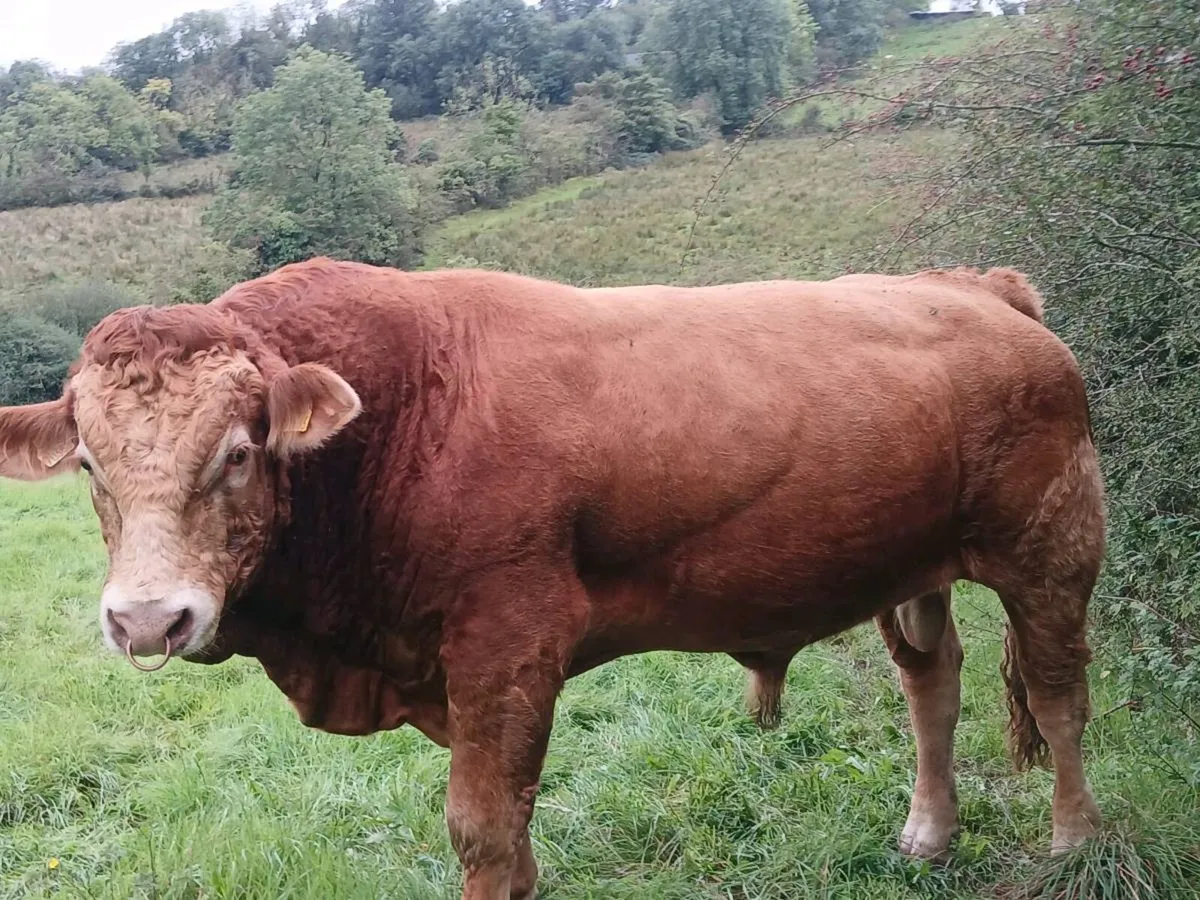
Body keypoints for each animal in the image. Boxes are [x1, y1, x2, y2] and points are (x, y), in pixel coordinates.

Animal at [0, 259, 1105, 900]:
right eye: (89, 464)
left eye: (237, 452)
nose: (148, 619)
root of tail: (974, 283)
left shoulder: (508, 645)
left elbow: (485, 831)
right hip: (912, 560)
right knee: (934, 680)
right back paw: (929, 833)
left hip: (1052, 545)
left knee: (1058, 697)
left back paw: (1071, 843)